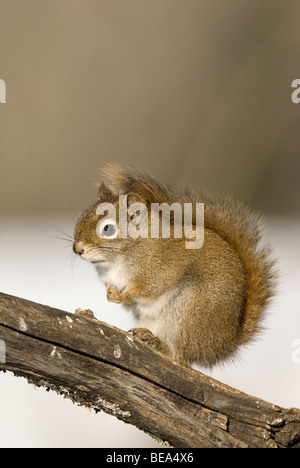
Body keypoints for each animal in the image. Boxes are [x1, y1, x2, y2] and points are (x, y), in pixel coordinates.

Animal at [72, 163, 276, 368]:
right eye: (81, 217)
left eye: (107, 229)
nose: (77, 249)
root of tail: (223, 345)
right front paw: (111, 294)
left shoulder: (161, 270)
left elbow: (149, 289)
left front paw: (125, 296)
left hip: (190, 316)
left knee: (181, 355)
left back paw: (160, 344)